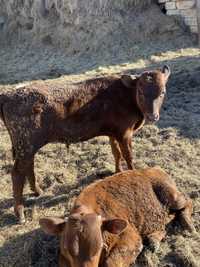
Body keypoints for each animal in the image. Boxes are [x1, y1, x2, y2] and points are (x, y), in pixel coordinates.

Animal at [0, 66, 170, 223]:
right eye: (141, 92)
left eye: (162, 92)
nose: (153, 116)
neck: (126, 94)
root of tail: (7, 95)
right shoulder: (125, 134)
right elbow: (128, 156)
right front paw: (132, 174)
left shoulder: (114, 134)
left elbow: (116, 153)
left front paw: (117, 171)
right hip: (26, 145)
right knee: (17, 173)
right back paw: (20, 214)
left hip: (28, 147)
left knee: (28, 166)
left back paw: (38, 191)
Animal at [39, 168, 195, 267]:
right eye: (65, 249)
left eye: (100, 247)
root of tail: (155, 168)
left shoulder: (131, 237)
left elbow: (111, 262)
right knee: (166, 221)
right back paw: (154, 240)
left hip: (172, 196)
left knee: (187, 202)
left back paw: (189, 225)